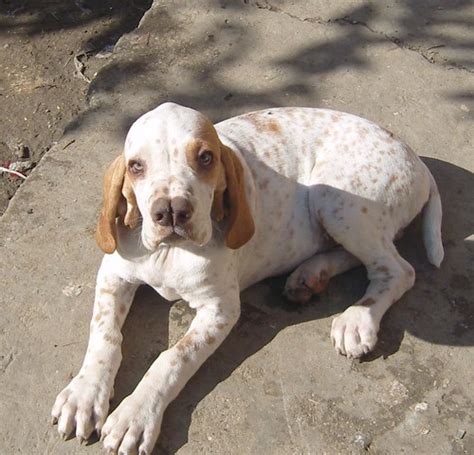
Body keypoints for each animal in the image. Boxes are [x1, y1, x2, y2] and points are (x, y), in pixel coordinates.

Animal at [51, 103, 444, 455]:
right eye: (136, 166)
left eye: (205, 158)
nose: (172, 212)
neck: (171, 253)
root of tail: (417, 159)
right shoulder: (113, 275)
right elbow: (105, 334)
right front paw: (84, 394)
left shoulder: (220, 310)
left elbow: (173, 358)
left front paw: (135, 415)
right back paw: (309, 276)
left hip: (334, 198)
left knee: (397, 270)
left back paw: (357, 319)